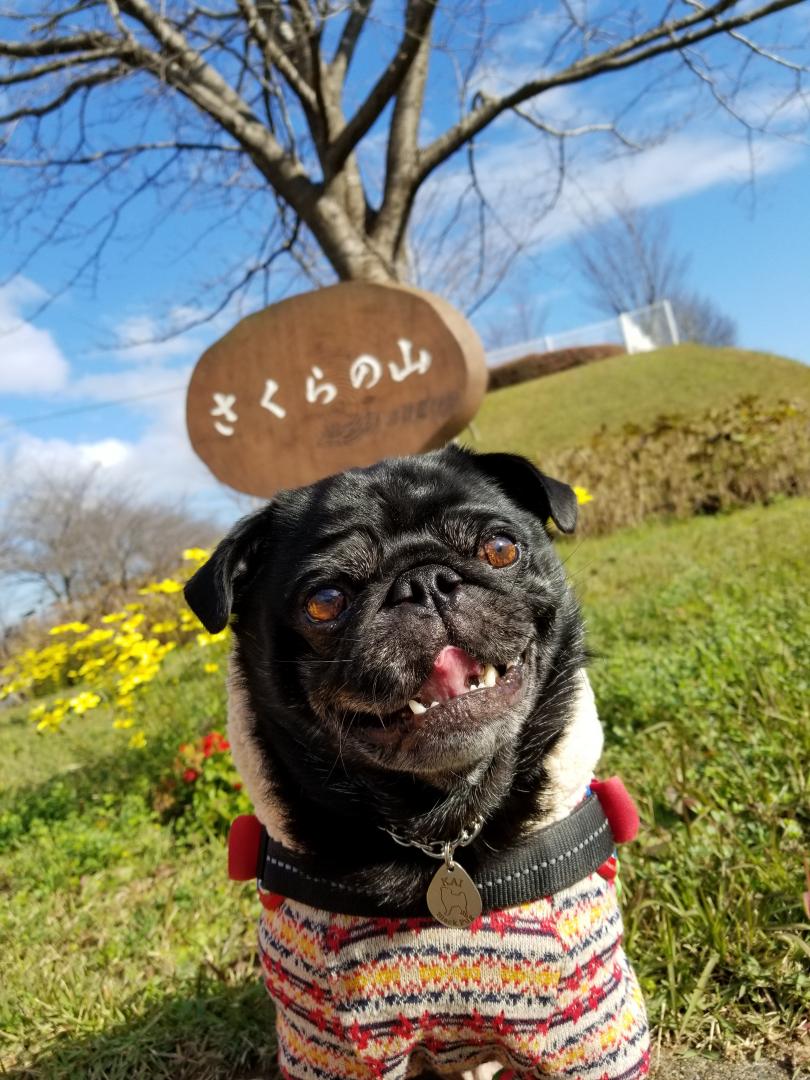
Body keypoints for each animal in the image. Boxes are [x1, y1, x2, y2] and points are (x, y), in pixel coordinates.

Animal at [185, 444, 652, 1080]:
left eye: (500, 548)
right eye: (325, 602)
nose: (423, 581)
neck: (443, 832)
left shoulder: (591, 1028)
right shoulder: (327, 1047)